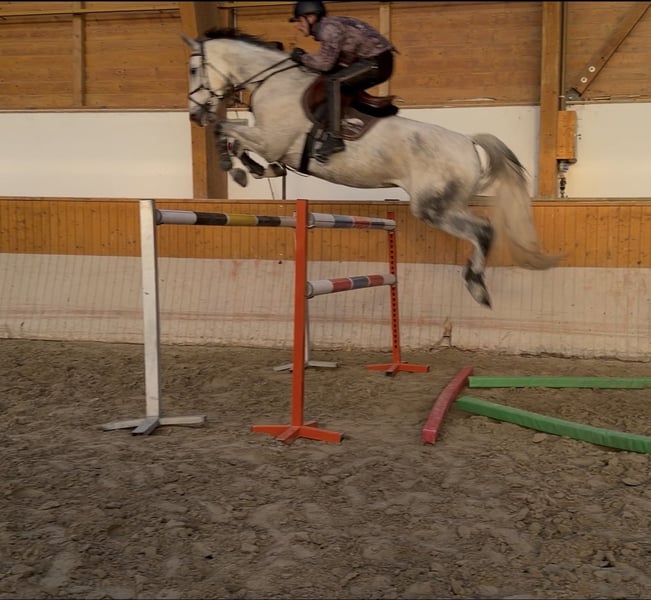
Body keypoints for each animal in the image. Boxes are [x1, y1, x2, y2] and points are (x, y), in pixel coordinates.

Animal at [181, 27, 561, 308]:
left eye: (193, 69)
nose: (194, 115)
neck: (272, 83)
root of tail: (467, 143)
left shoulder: (269, 139)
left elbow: (226, 131)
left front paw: (236, 168)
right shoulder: (269, 143)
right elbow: (241, 143)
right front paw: (253, 170)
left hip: (433, 208)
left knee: (483, 231)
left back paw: (477, 286)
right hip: (445, 205)